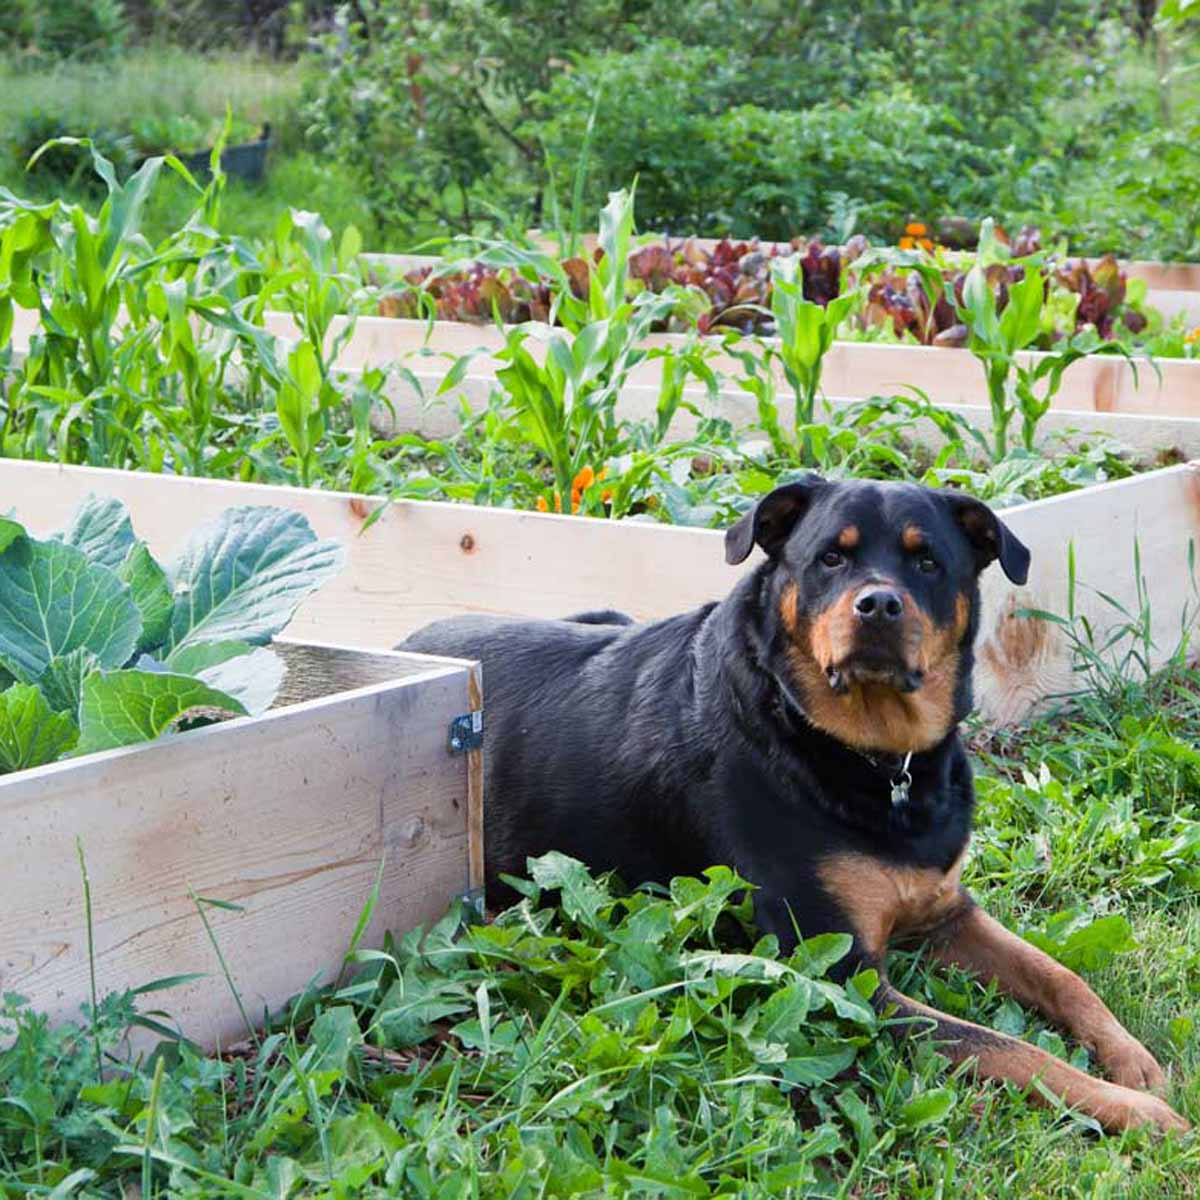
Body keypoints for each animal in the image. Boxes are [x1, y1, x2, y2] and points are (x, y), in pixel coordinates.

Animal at [398, 475, 1185, 1132]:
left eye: (928, 562)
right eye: (830, 559)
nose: (879, 603)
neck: (873, 758)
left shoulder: (946, 911)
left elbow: (1061, 976)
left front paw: (1135, 1060)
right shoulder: (842, 976)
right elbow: (1007, 1047)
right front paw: (1137, 1111)